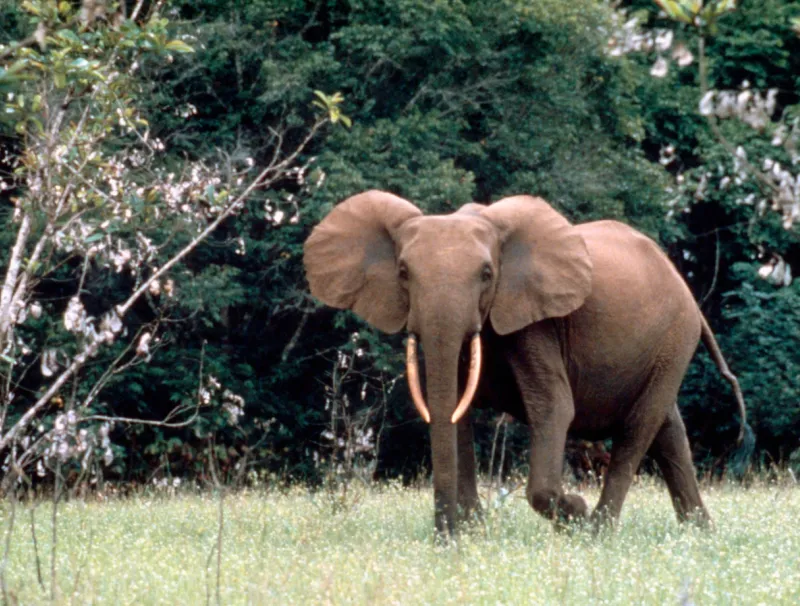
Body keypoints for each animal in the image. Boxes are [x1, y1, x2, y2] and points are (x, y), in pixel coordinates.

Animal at [304, 190, 748, 536]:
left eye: (487, 274)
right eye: (403, 272)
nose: (443, 537)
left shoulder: (535, 322)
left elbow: (553, 407)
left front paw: (573, 511)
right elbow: (453, 409)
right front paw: (472, 533)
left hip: (675, 337)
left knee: (639, 428)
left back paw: (598, 532)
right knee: (669, 431)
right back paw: (701, 534)